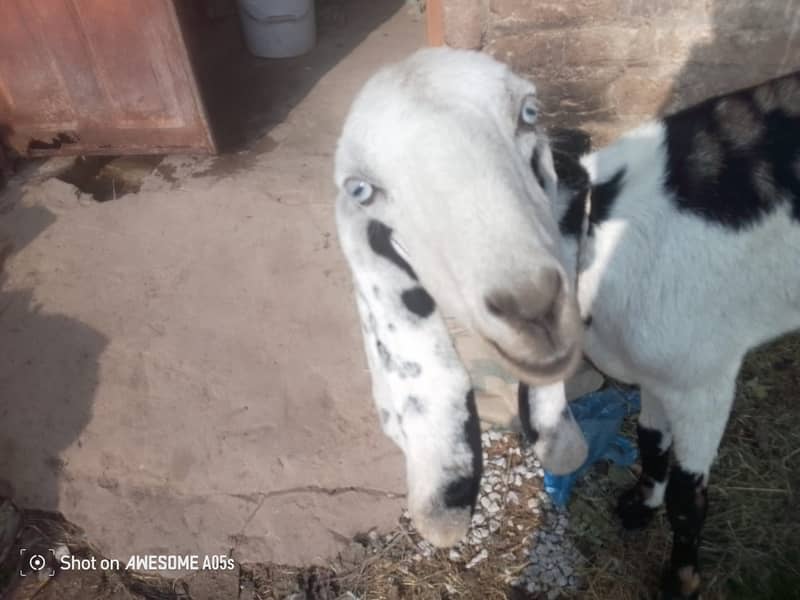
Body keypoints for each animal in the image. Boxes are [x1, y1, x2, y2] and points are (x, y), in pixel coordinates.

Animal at [334, 48, 800, 600]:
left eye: (529, 113)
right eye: (361, 190)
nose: (532, 306)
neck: (603, 239)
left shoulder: (704, 378)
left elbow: (689, 497)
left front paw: (680, 580)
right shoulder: (657, 374)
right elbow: (650, 441)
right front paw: (640, 507)